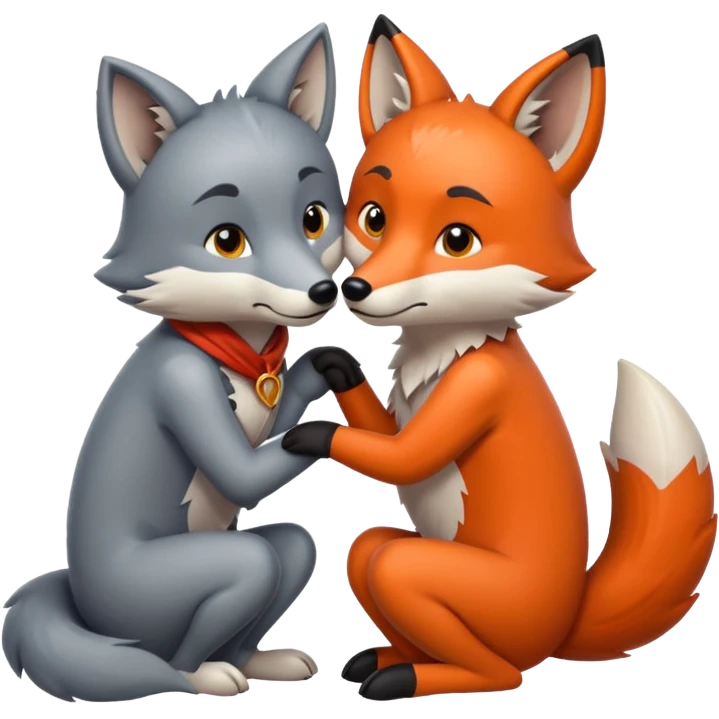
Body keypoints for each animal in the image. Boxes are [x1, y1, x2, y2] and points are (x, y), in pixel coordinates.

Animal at [0, 23, 357, 703]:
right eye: (227, 240)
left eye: (314, 218)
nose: (324, 292)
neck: (238, 349)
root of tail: (82, 607)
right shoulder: (183, 382)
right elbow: (240, 473)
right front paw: (339, 431)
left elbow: (272, 430)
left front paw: (323, 366)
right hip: (155, 594)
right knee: (231, 587)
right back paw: (203, 675)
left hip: (282, 552)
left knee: (290, 550)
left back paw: (259, 662)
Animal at [282, 17, 718, 701]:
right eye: (374, 218)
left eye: (457, 239)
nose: (355, 289)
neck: (449, 350)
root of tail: (567, 619)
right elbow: (384, 432)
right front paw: (334, 363)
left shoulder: (477, 387)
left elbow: (405, 456)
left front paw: (310, 435)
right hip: (377, 552)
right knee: (370, 552)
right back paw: (384, 658)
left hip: (454, 586)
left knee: (497, 664)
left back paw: (411, 676)